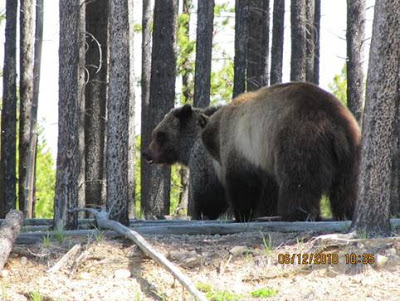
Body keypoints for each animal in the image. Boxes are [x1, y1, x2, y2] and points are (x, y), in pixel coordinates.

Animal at [198, 81, 360, 220]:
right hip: (350, 149)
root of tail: (334, 121)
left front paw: (243, 215)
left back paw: (295, 214)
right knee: (347, 185)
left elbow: (243, 182)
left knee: (298, 180)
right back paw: (346, 212)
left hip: (299, 138)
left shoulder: (239, 144)